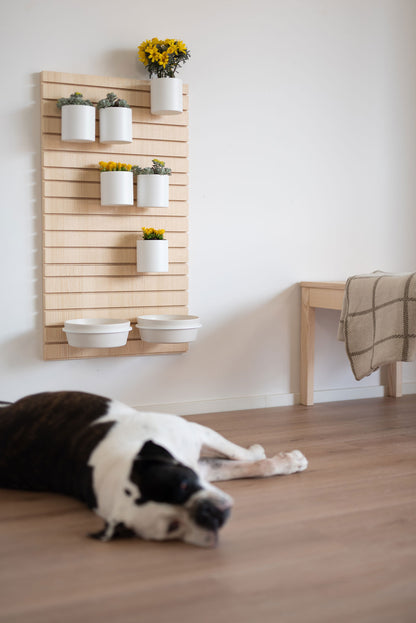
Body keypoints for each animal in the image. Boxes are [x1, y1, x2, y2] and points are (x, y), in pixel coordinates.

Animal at [0, 392, 308, 548]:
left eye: (183, 485)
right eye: (173, 527)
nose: (207, 514)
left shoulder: (194, 437)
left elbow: (238, 455)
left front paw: (270, 456)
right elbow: (242, 463)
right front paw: (285, 460)